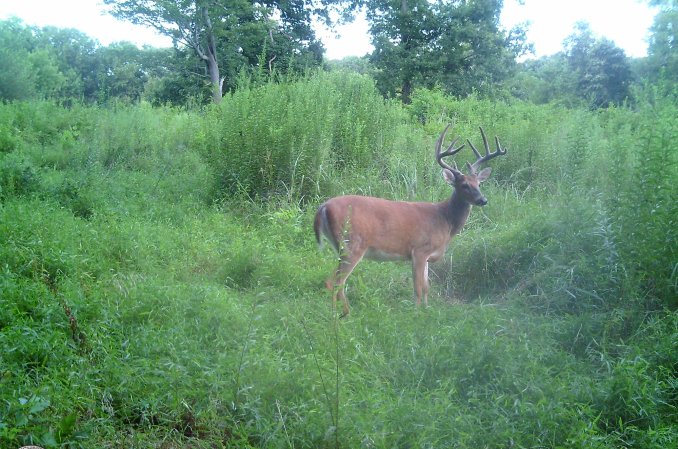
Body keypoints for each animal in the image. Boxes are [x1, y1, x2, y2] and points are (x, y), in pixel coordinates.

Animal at [316, 123, 508, 316]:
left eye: (479, 184)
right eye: (464, 185)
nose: (483, 200)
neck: (445, 221)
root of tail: (323, 207)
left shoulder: (427, 256)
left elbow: (427, 287)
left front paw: (426, 311)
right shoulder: (420, 250)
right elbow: (418, 287)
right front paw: (416, 314)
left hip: (341, 246)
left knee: (334, 281)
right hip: (352, 244)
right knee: (334, 281)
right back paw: (342, 315)